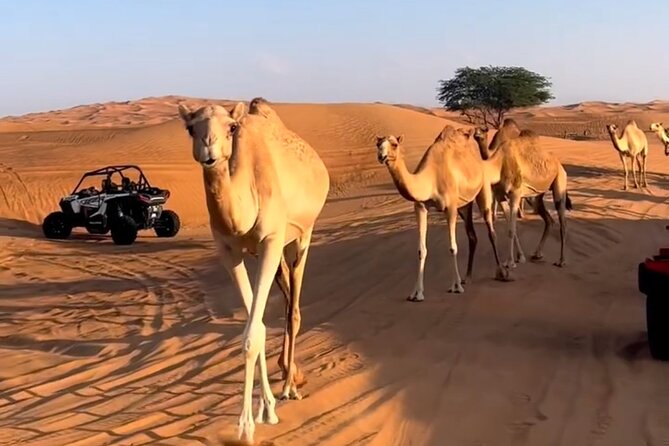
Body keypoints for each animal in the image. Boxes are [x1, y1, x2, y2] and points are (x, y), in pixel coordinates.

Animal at [178, 97, 330, 444]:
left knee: (294, 310)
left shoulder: (271, 239)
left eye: (231, 127)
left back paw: (289, 386)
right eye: (191, 127)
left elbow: (251, 334)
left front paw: (246, 427)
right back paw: (289, 377)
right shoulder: (229, 251)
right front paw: (266, 408)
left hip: (302, 236)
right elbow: (256, 327)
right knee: (284, 303)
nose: (209, 150)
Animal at [375, 125, 511, 301]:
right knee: (472, 236)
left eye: (394, 144)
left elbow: (453, 247)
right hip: (464, 205)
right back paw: (467, 277)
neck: (430, 178)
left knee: (491, 231)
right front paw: (416, 293)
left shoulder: (450, 207)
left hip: (484, 190)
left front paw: (456, 286)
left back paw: (501, 272)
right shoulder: (420, 207)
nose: (381, 156)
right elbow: (421, 250)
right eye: (378, 144)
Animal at [473, 119, 572, 268]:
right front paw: (520, 257)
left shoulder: (515, 194)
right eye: (474, 130)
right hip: (536, 196)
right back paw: (537, 253)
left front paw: (510, 262)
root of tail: (560, 166)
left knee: (563, 221)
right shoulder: (500, 196)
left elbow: (511, 229)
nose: (476, 134)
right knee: (548, 220)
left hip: (559, 182)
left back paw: (562, 260)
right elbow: (511, 227)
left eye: (483, 130)